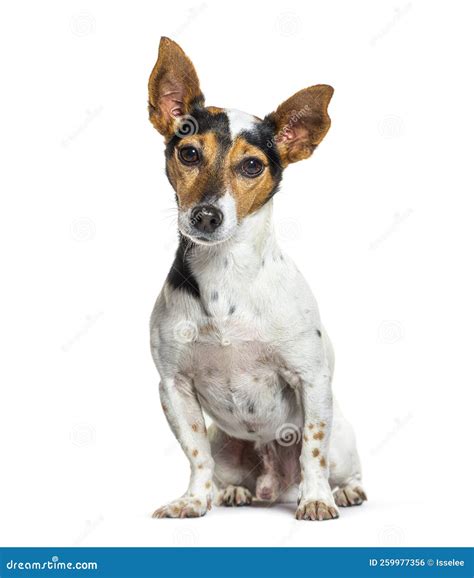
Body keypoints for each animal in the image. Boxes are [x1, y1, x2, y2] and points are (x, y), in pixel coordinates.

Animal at [148, 38, 366, 520]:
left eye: (252, 166)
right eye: (189, 153)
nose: (206, 215)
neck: (225, 273)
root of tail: (274, 481)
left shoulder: (310, 379)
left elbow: (313, 451)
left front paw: (317, 499)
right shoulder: (173, 386)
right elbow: (195, 455)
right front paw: (193, 500)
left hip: (343, 439)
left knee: (340, 464)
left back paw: (343, 491)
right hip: (228, 446)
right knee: (221, 467)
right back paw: (232, 492)